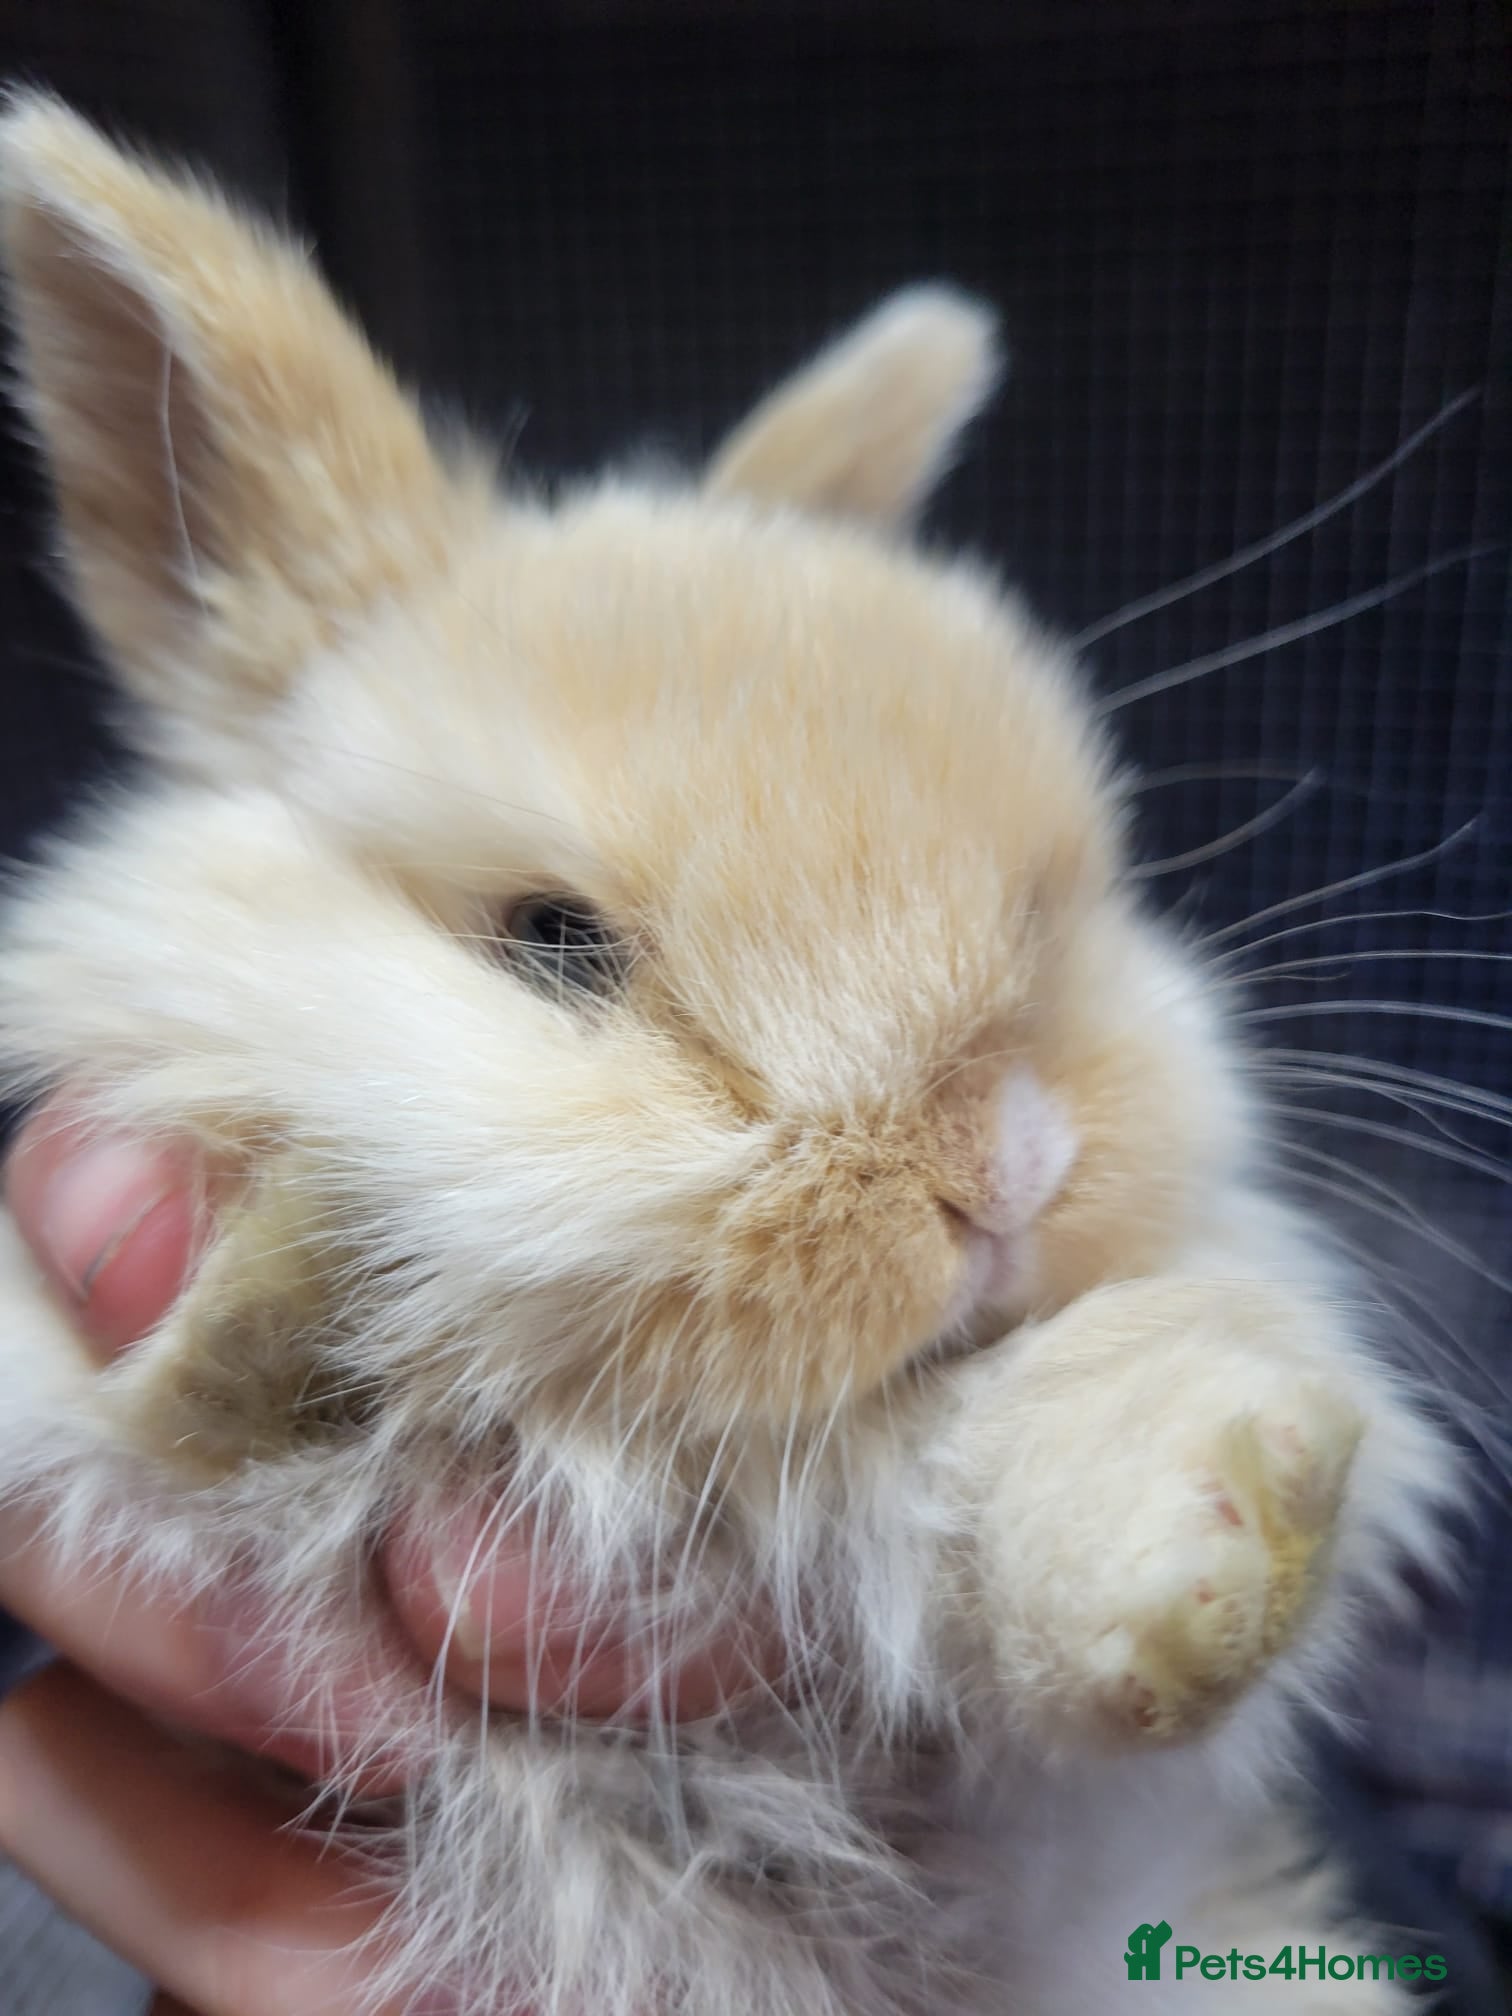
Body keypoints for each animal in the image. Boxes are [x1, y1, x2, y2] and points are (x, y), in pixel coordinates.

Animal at [0, 94, 1461, 2016]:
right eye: (555, 942)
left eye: (1049, 908)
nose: (1003, 1168)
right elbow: (185, 1425)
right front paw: (290, 1293)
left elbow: (1030, 1476)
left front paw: (1243, 1521)